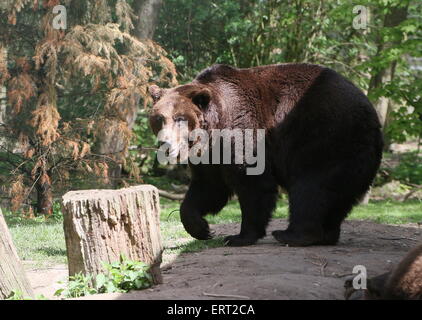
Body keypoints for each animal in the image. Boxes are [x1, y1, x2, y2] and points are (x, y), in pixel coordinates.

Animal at [148, 63, 382, 248]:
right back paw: (326, 235)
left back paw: (292, 234)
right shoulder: (210, 157)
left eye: (180, 118)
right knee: (336, 195)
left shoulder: (243, 130)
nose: (165, 144)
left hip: (326, 138)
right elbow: (208, 187)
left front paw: (238, 236)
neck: (213, 129)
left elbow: (253, 183)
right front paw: (201, 228)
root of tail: (372, 115)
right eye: (160, 118)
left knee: (311, 187)